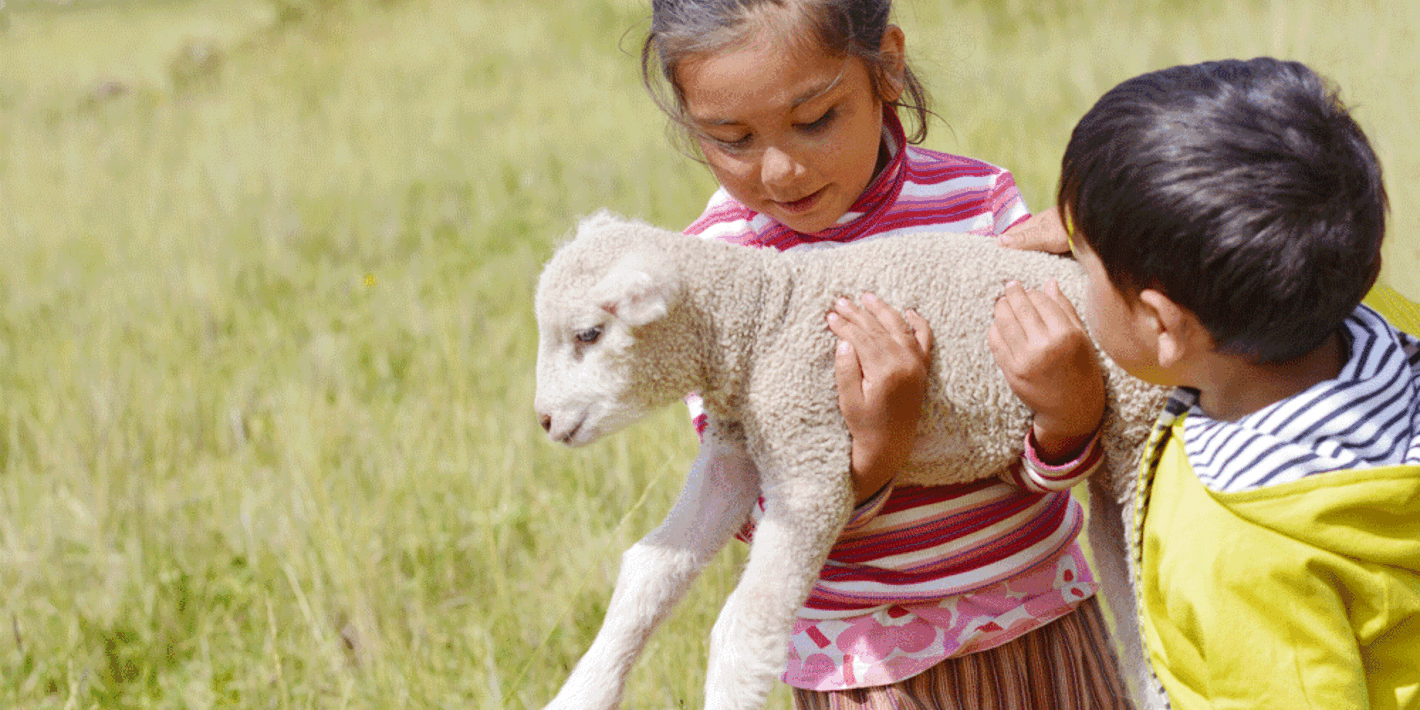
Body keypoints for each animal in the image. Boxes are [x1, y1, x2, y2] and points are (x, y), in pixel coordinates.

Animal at [533, 210, 1169, 710]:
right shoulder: (737, 450)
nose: (543, 420)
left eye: (589, 334)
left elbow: (745, 628)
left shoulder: (810, 454)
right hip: (1118, 462)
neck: (762, 324)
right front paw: (579, 696)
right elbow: (648, 571)